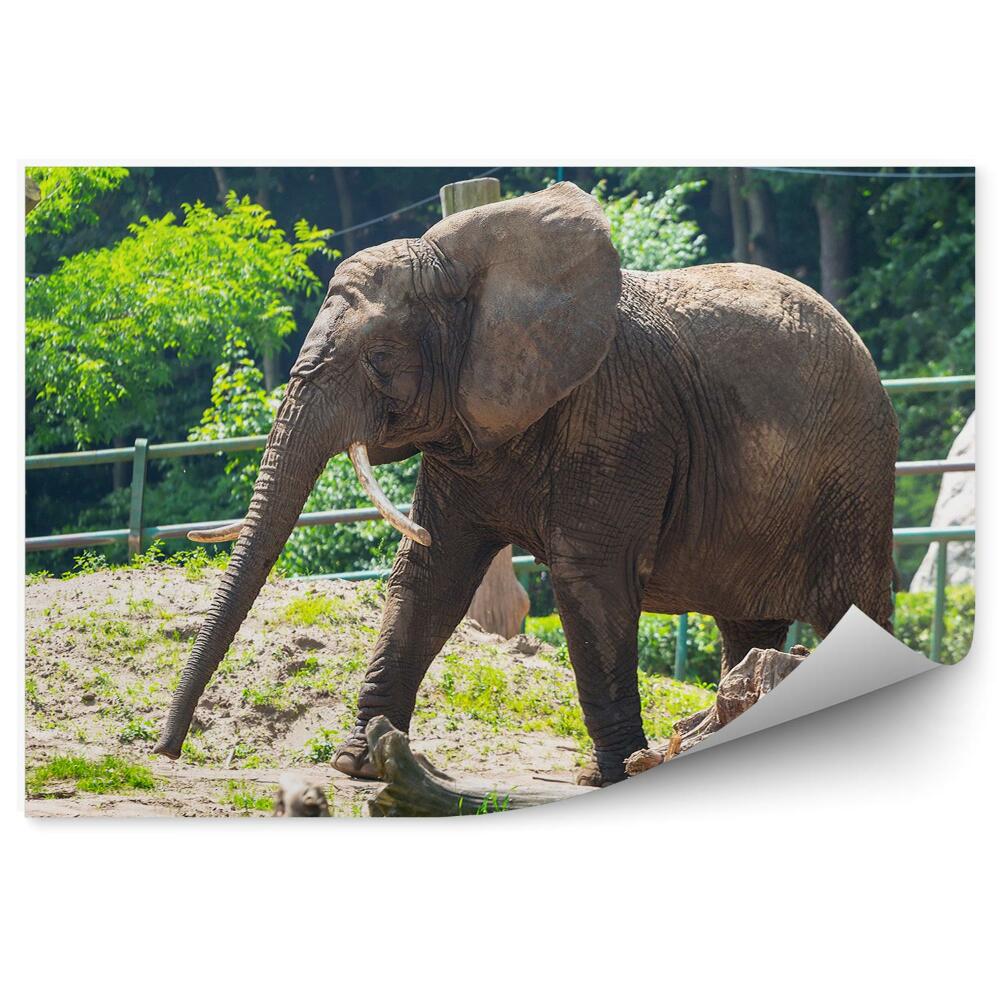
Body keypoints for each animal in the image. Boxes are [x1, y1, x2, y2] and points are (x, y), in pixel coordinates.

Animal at [154, 181, 898, 786]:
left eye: (380, 357)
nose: (166, 752)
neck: (467, 267)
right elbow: (429, 574)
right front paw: (356, 762)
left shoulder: (617, 419)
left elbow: (588, 582)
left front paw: (612, 776)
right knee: (747, 625)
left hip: (856, 477)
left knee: (851, 606)